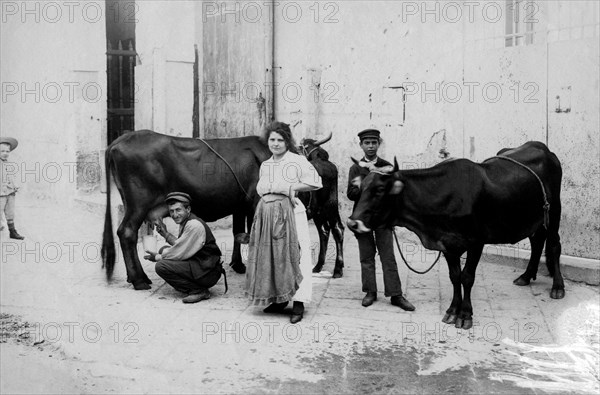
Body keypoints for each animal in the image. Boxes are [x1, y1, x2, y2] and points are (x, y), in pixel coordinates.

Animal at [101, 131, 270, 290]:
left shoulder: (240, 205)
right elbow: (252, 235)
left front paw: (238, 265)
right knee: (127, 232)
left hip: (130, 202)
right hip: (138, 204)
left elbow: (238, 233)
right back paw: (139, 280)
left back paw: (135, 277)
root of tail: (120, 140)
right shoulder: (254, 201)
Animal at [298, 133, 344, 278]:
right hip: (318, 212)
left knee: (337, 230)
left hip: (331, 206)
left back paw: (338, 269)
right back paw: (318, 266)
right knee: (324, 231)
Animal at [344, 142, 564, 332]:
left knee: (553, 245)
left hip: (554, 211)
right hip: (536, 217)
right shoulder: (448, 245)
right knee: (537, 241)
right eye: (360, 188)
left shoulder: (476, 242)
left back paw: (558, 287)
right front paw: (452, 310)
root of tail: (540, 146)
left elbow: (467, 277)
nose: (352, 223)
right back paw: (526, 276)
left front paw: (465, 315)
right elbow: (454, 277)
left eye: (380, 190)